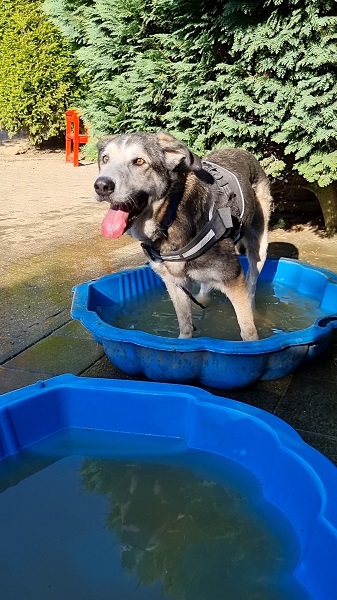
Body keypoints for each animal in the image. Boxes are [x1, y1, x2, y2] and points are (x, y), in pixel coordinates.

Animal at [93, 132, 272, 340]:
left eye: (139, 161)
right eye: (105, 159)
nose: (102, 185)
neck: (171, 215)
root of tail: (241, 151)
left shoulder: (233, 279)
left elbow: (247, 330)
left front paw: (253, 342)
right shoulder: (174, 283)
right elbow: (185, 325)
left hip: (258, 248)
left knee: (251, 286)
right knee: (205, 287)